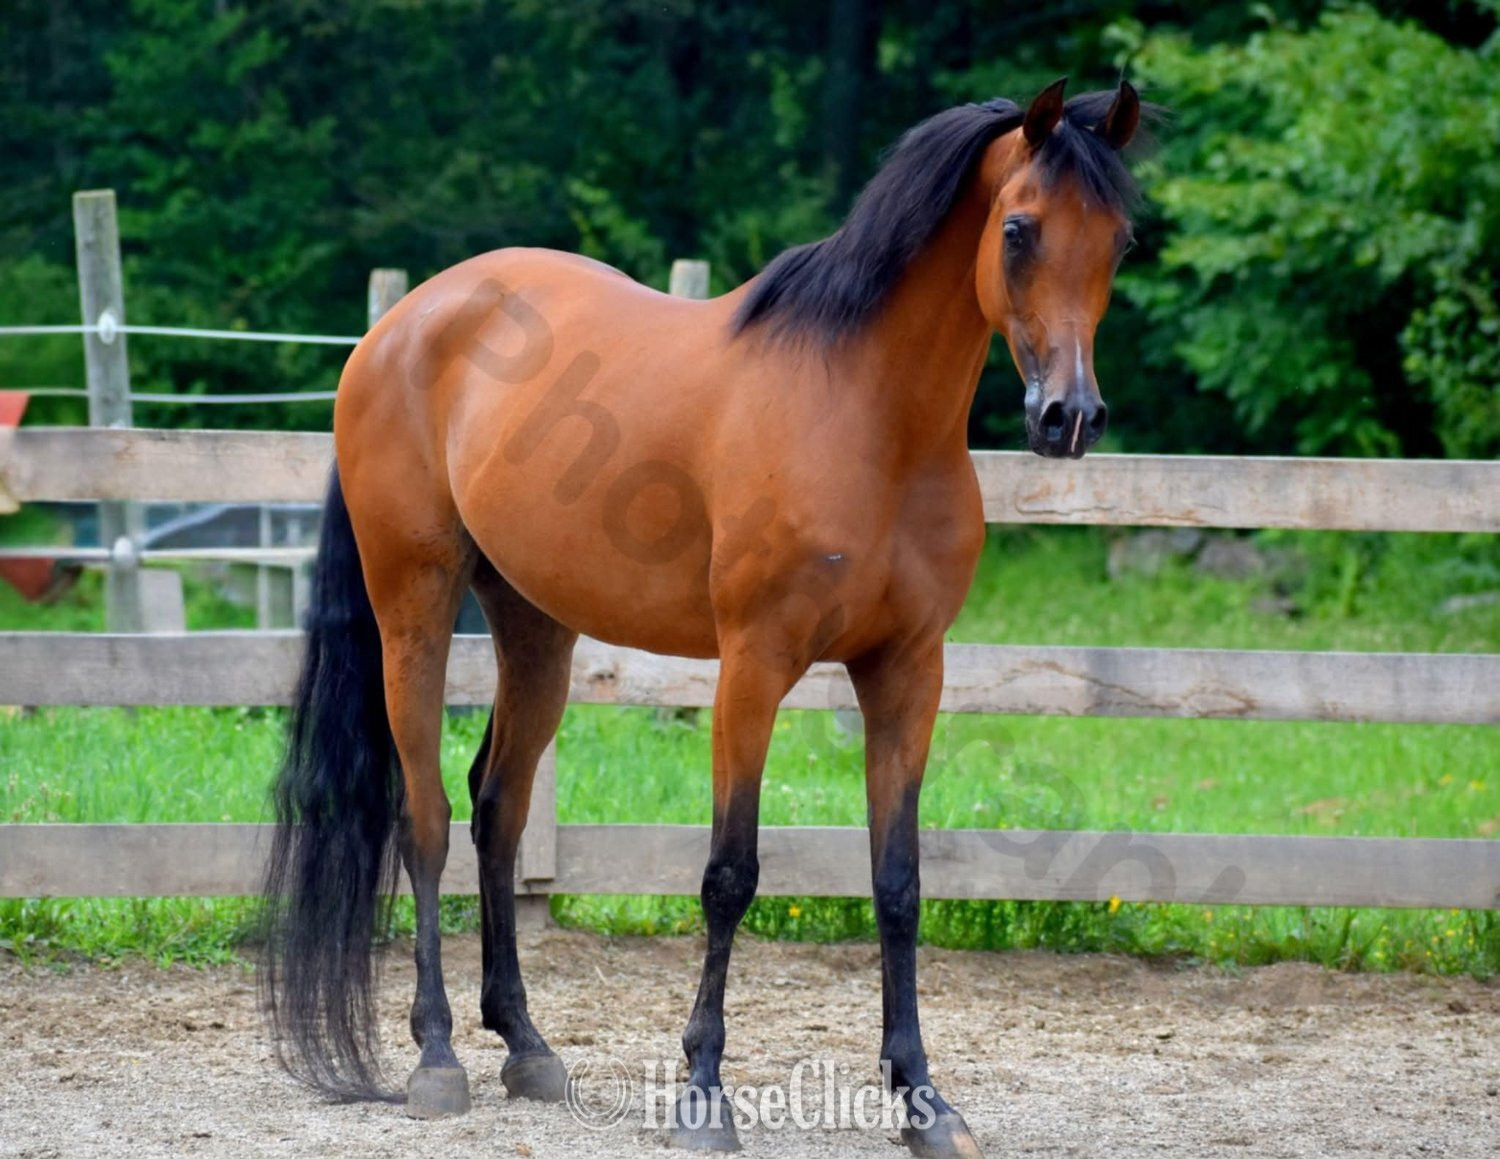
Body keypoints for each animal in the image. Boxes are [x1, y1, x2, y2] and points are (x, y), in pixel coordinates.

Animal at [260, 76, 1145, 1158]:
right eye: (1018, 229)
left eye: (1120, 241)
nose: (1070, 418)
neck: (868, 420)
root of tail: (398, 328)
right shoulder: (753, 667)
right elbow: (731, 873)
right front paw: (703, 1092)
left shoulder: (908, 670)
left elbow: (897, 884)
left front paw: (923, 1100)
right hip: (413, 607)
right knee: (423, 818)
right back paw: (437, 1056)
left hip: (536, 628)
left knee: (497, 809)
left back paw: (526, 1045)